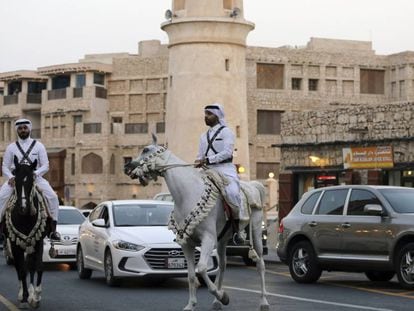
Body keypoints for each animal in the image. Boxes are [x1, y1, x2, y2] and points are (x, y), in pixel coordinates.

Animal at [124, 136, 270, 311]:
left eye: (146, 150)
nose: (126, 167)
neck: (187, 194)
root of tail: (254, 185)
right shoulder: (187, 243)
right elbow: (192, 275)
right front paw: (192, 304)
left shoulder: (208, 239)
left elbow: (202, 268)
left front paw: (223, 296)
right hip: (223, 239)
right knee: (223, 265)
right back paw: (216, 303)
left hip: (255, 232)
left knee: (260, 264)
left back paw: (263, 302)